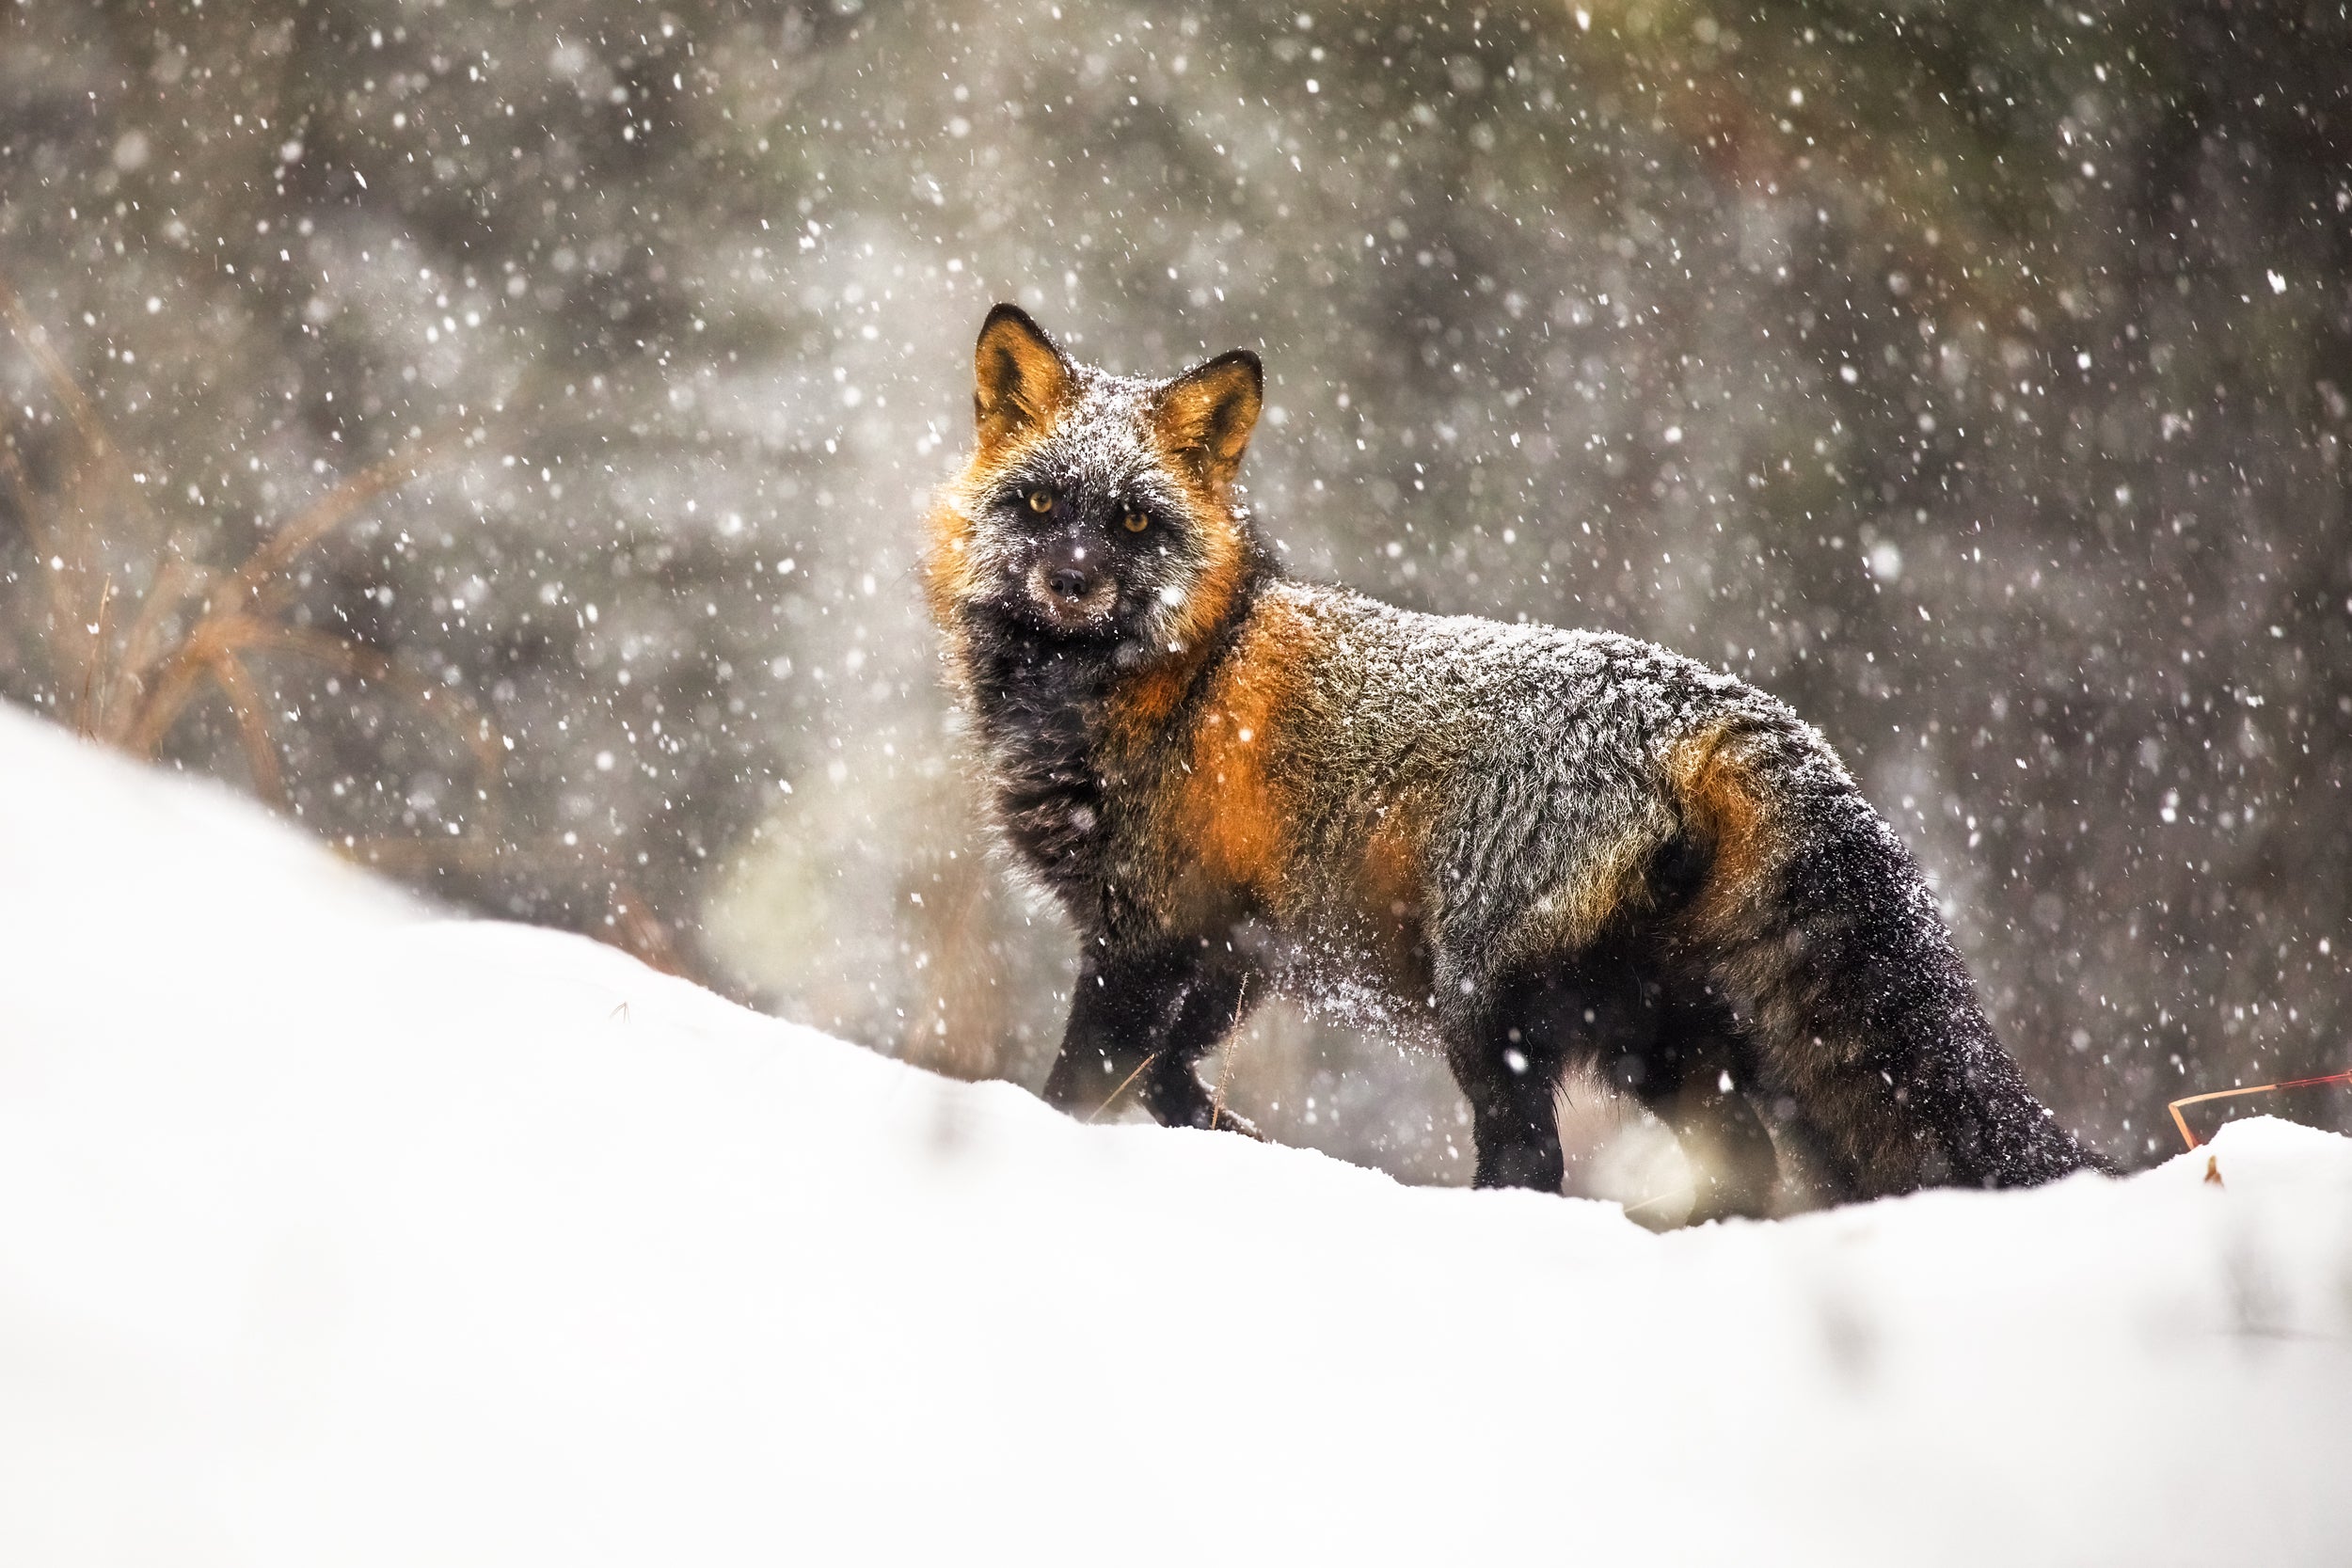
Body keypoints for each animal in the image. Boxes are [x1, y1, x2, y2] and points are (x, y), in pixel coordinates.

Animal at [923, 303, 2103, 1217]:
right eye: (1040, 503)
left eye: (1132, 520)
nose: (1071, 582)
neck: (1180, 672)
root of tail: (1722, 708)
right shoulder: (1231, 949)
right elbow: (1171, 1078)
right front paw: (1230, 1142)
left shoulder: (1144, 933)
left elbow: (1082, 1082)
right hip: (1663, 1041)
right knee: (1744, 1166)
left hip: (1489, 1011)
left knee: (1533, 1158)